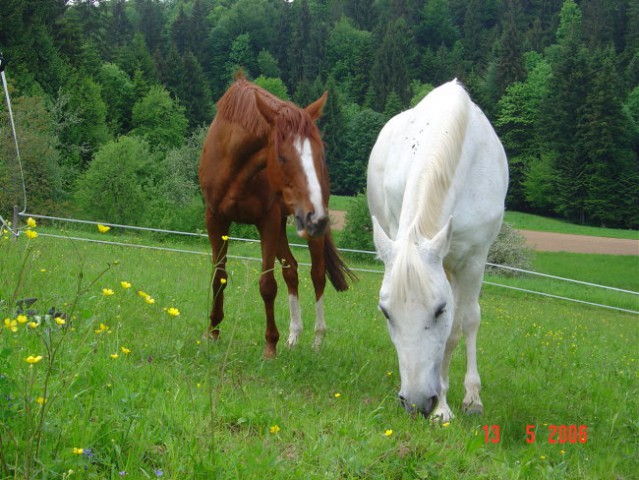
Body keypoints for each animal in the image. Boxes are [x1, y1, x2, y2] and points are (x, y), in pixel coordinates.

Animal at [200, 75, 356, 358]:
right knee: (291, 270)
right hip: (289, 222)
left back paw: (317, 339)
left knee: (317, 275)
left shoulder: (268, 221)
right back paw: (294, 336)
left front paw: (270, 344)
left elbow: (267, 284)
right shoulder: (215, 219)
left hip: (305, 228)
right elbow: (219, 276)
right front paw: (213, 331)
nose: (317, 215)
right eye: (282, 157)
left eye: (319, 155)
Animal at [368, 79, 508, 420]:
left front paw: (458, 403)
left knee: (467, 322)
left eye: (439, 309)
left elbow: (461, 325)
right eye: (386, 312)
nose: (416, 402)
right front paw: (442, 406)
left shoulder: (474, 260)